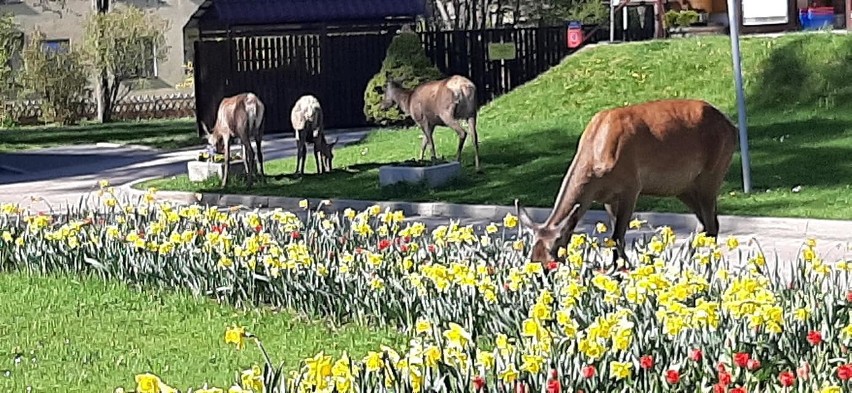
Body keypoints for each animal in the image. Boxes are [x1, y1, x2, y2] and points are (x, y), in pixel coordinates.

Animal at [512, 99, 740, 268]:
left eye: (551, 262)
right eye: (531, 259)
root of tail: (732, 128)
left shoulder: (631, 186)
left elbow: (618, 236)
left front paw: (621, 270)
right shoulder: (607, 197)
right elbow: (615, 237)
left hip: (713, 172)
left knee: (712, 224)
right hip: (684, 187)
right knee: (705, 224)